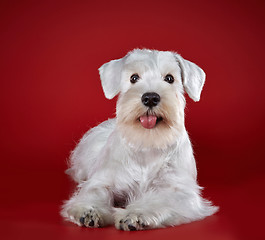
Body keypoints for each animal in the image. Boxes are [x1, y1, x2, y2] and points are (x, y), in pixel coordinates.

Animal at [60, 48, 218, 231]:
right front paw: (89, 211)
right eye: (133, 78)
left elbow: (158, 201)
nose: (150, 98)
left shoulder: (179, 191)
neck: (147, 143)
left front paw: (135, 215)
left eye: (170, 78)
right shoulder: (103, 181)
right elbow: (94, 192)